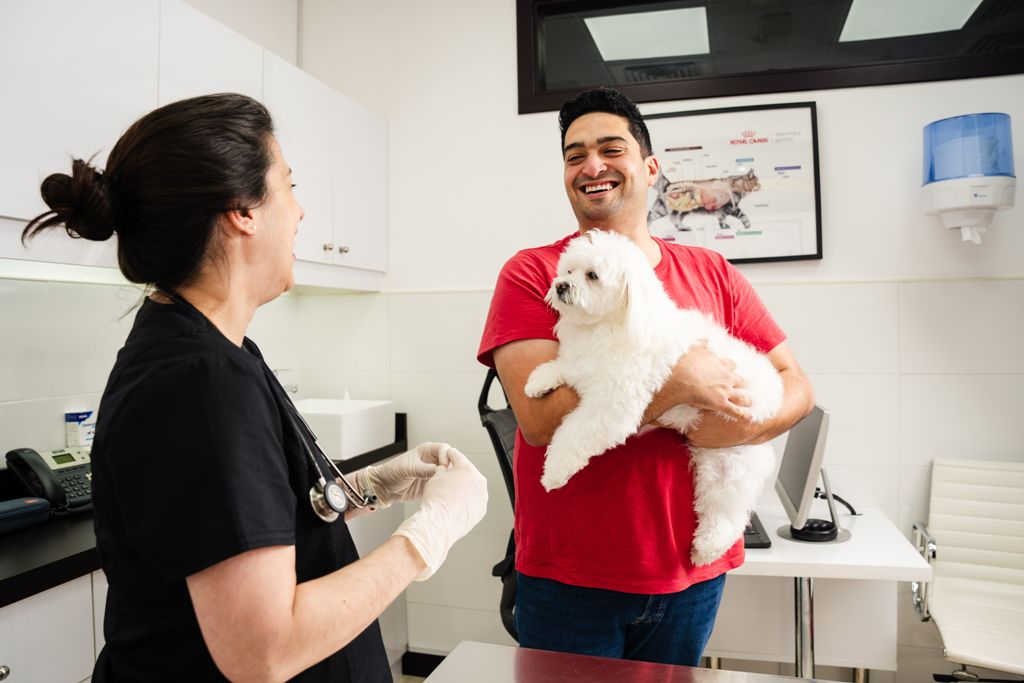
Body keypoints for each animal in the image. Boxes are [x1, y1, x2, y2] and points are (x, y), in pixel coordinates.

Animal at [528, 229, 782, 565]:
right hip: (715, 460)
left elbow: (574, 435)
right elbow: (562, 367)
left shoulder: (613, 407)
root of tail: (772, 399)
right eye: (568, 270)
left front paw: (554, 472)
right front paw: (540, 381)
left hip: (733, 462)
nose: (560, 285)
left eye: (592, 275)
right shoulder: (582, 365)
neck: (611, 324)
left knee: (729, 514)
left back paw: (708, 549)